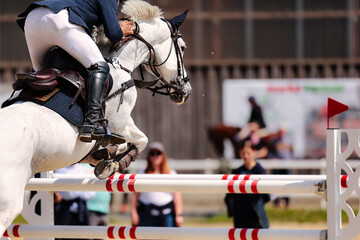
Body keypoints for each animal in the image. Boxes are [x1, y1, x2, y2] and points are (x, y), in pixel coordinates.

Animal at [0, 0, 191, 236]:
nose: (186, 91)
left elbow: (130, 142)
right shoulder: (119, 122)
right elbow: (138, 140)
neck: (118, 62)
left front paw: (104, 157)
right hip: (8, 203)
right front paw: (111, 161)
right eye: (182, 47)